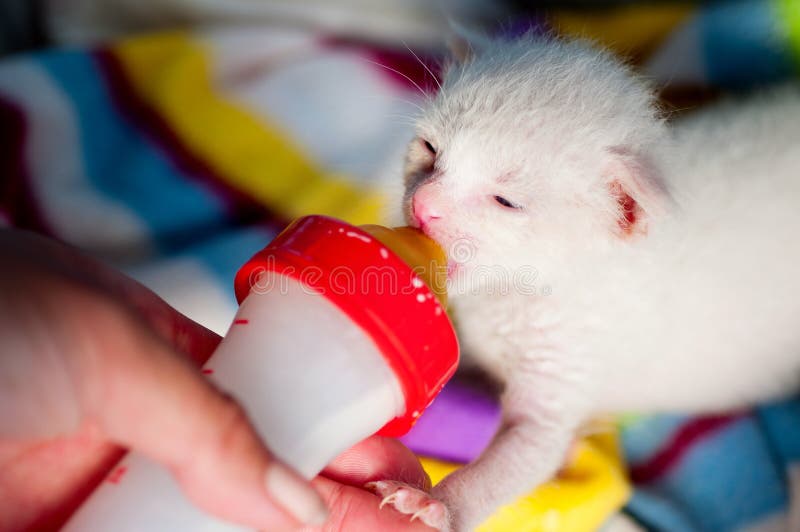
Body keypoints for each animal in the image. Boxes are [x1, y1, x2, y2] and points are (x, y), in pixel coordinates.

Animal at [370, 35, 800, 528]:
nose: (424, 204)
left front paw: (437, 504)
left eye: (506, 201)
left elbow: (530, 450)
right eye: (429, 148)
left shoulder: (571, 362)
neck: (517, 295)